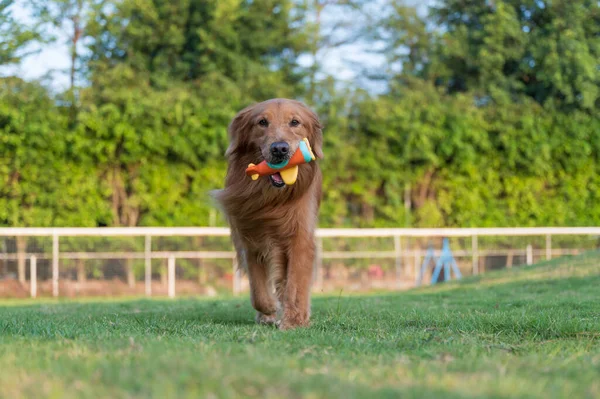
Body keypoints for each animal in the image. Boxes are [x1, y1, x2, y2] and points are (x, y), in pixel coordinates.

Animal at [213, 98, 322, 330]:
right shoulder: (250, 236)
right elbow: (258, 289)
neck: (272, 199)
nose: (279, 148)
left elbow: (295, 283)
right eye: (262, 122)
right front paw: (269, 309)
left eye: (295, 122)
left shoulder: (300, 236)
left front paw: (294, 321)